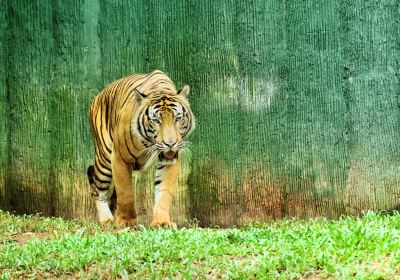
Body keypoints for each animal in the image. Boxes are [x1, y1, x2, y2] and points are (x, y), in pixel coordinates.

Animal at [86, 70, 195, 228]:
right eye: (156, 120)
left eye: (178, 118)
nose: (170, 143)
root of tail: (98, 95)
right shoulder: (120, 158)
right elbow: (126, 193)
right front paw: (125, 222)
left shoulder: (170, 161)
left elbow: (164, 192)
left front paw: (161, 222)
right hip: (104, 159)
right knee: (98, 191)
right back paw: (107, 220)